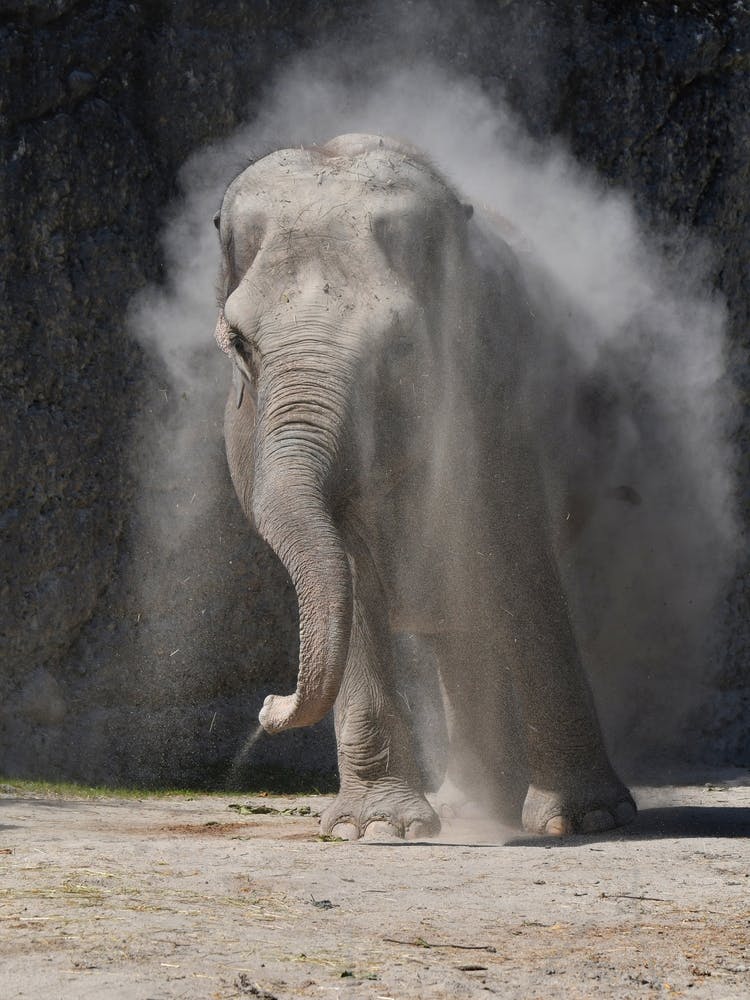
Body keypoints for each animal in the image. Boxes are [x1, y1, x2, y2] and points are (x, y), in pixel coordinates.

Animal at [212, 132, 637, 839]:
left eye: (401, 347)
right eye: (239, 342)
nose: (268, 707)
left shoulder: (495, 400)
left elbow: (523, 562)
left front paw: (590, 820)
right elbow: (351, 573)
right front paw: (375, 829)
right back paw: (467, 805)